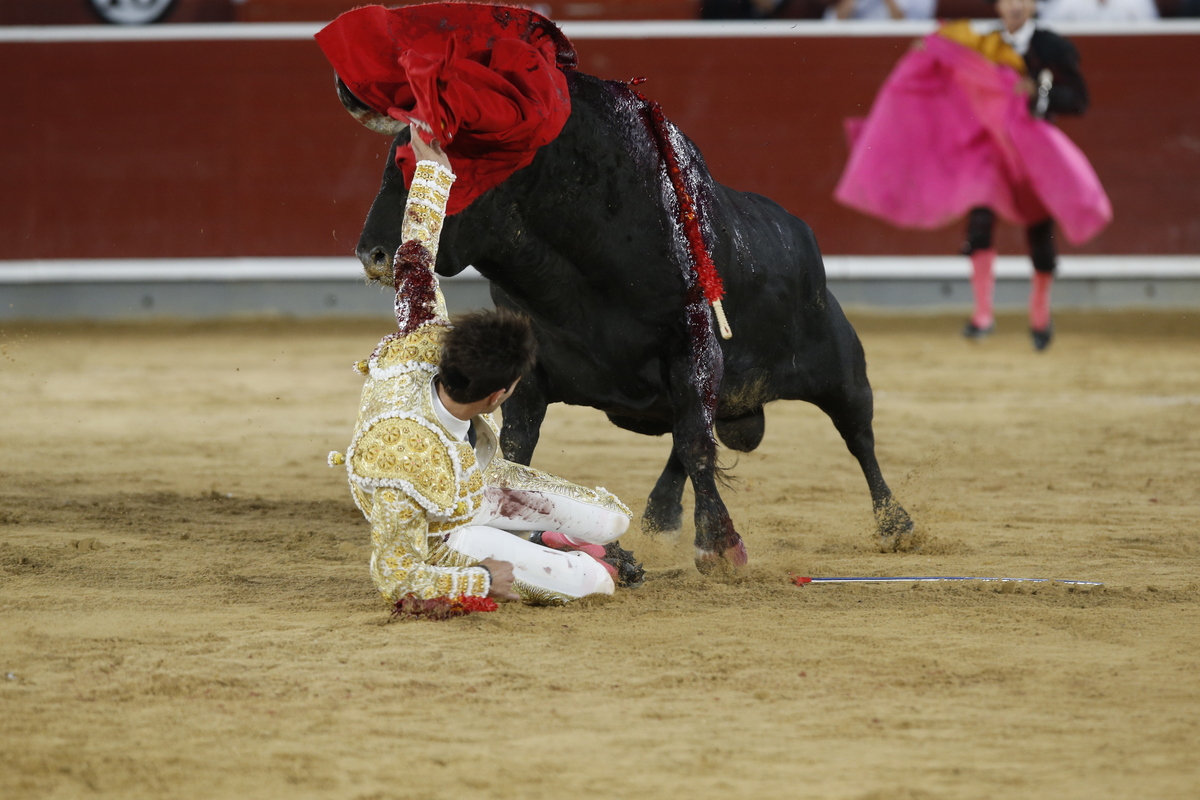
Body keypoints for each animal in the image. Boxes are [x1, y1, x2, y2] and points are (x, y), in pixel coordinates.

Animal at [350, 68, 912, 568]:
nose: (373, 255)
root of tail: (802, 236)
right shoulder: (528, 372)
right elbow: (517, 446)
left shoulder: (694, 348)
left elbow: (696, 442)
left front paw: (720, 547)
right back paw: (659, 518)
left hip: (840, 368)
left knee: (857, 436)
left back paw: (895, 523)